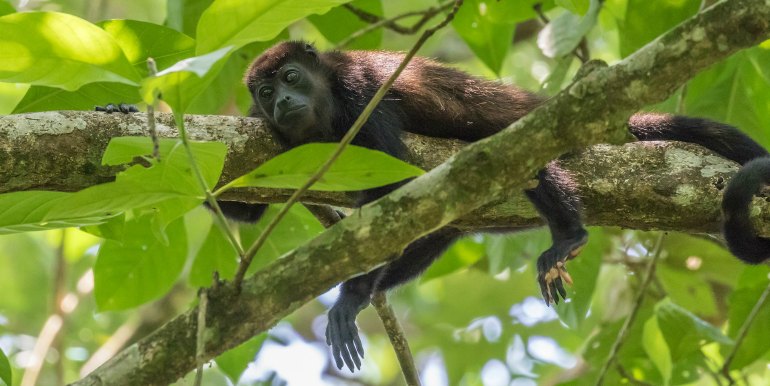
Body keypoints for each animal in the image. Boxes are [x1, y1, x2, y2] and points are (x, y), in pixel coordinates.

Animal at [228, 41, 768, 370]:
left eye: (292, 77)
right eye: (266, 91)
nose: (281, 103)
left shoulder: (362, 94)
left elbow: (394, 189)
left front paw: (347, 296)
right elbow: (244, 208)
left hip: (538, 127)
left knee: (517, 152)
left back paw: (568, 235)